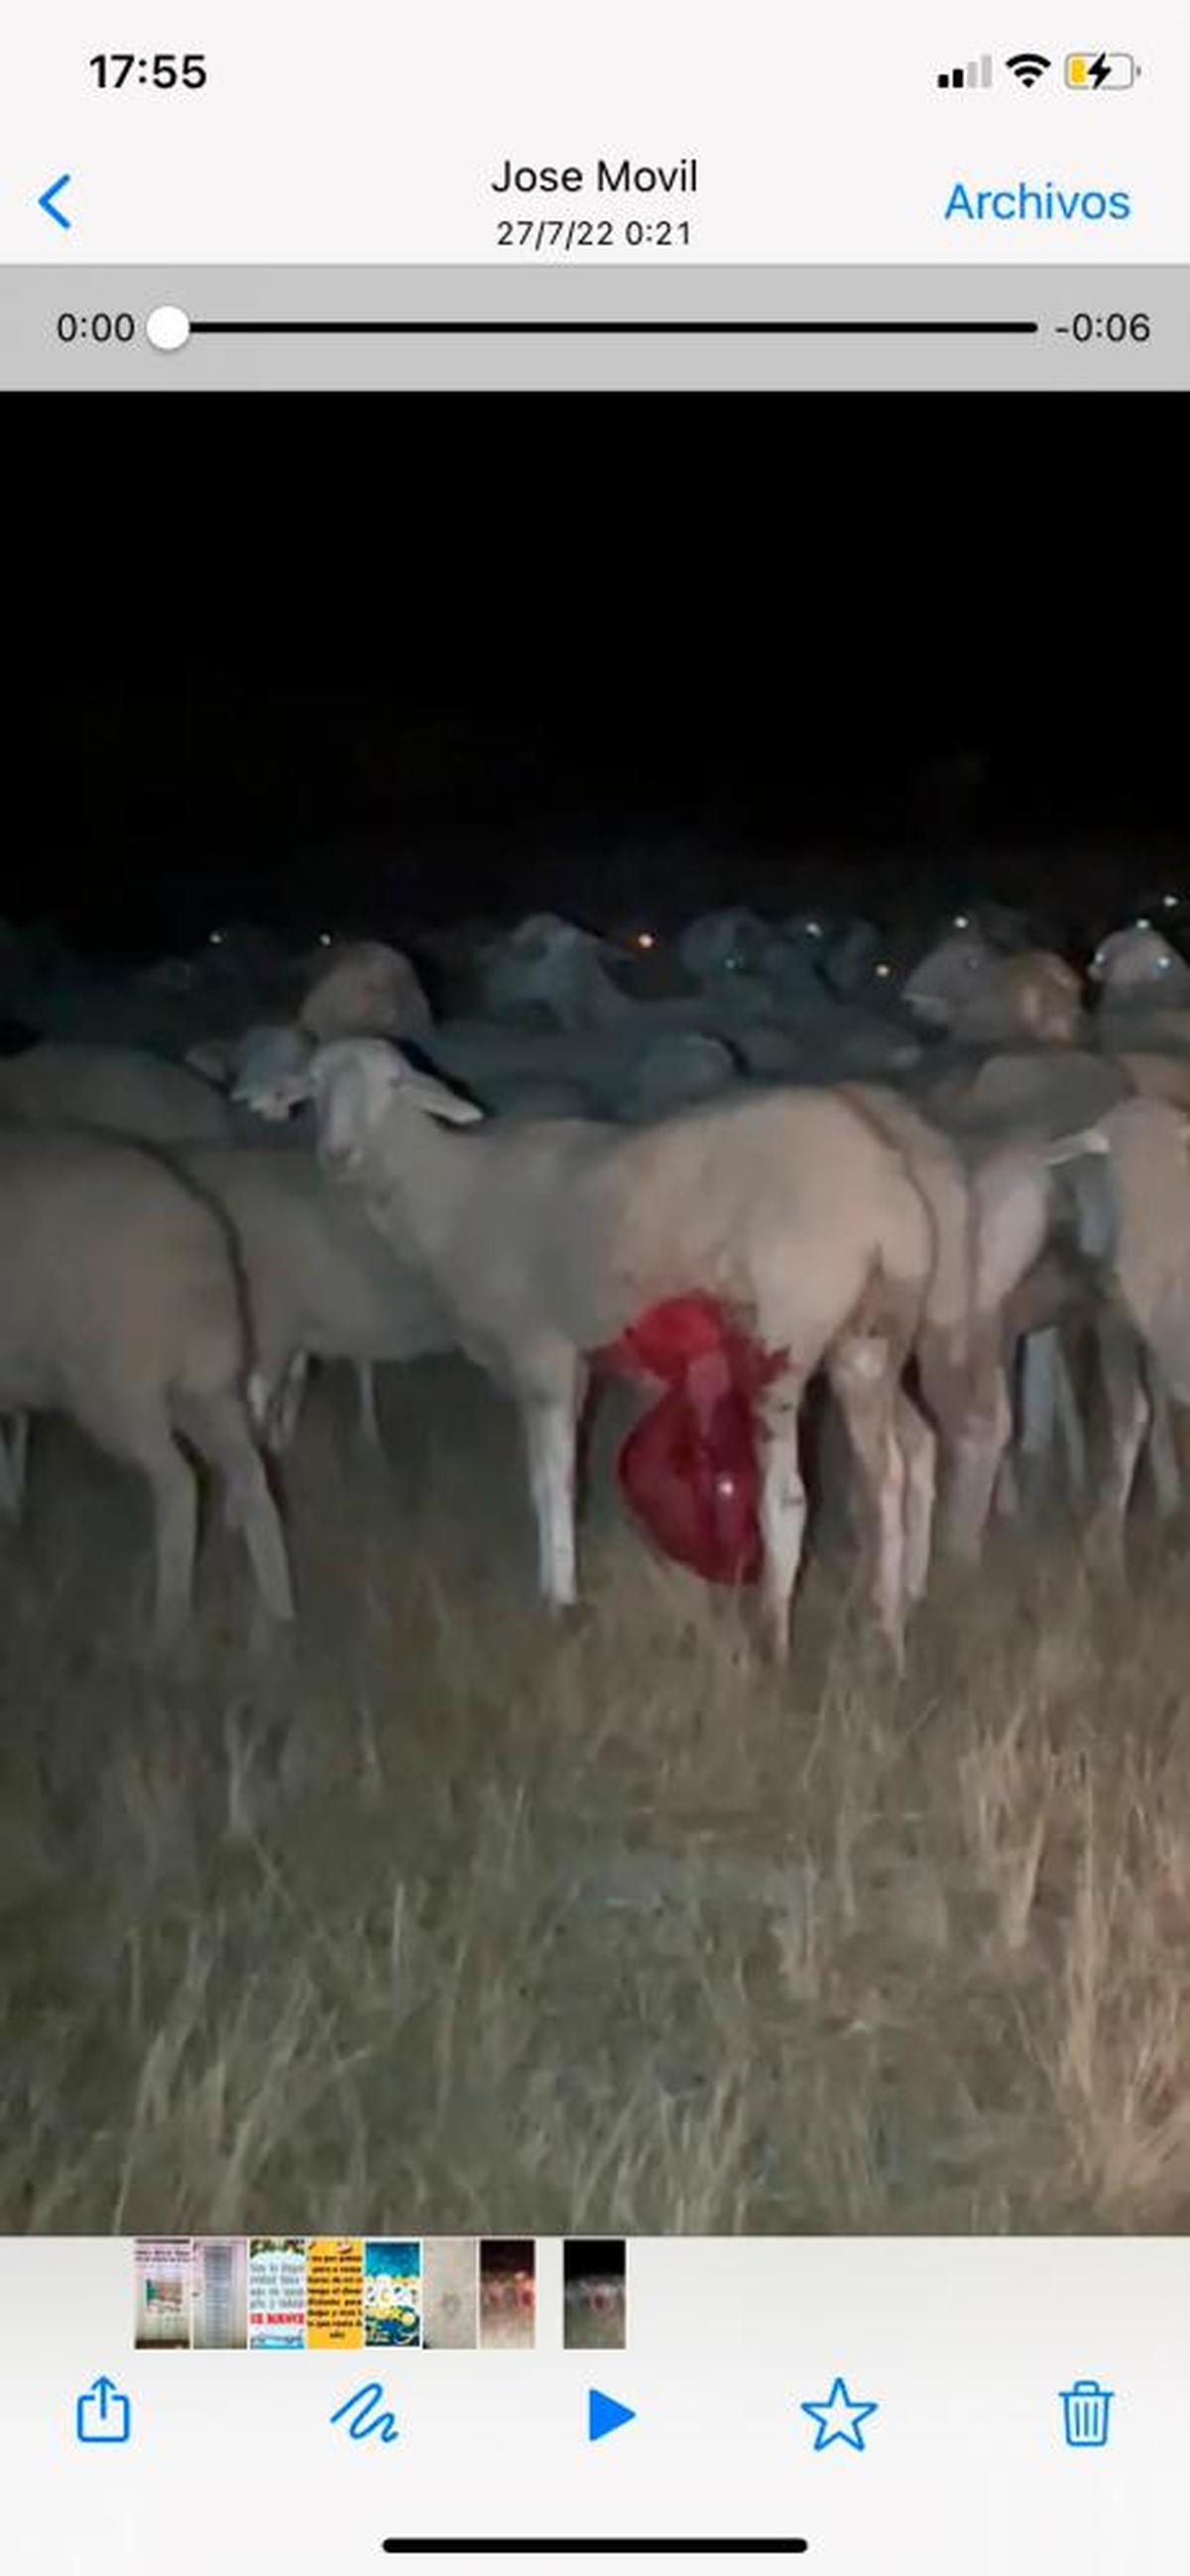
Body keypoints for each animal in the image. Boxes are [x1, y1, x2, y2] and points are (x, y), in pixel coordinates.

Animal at [0, 1123, 292, 1638]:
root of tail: (197, 1239)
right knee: (251, 1474)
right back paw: (279, 1621)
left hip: (118, 1391)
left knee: (177, 1483)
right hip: (205, 1385)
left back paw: (169, 1625)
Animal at [251, 1035, 947, 1658]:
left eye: (393, 1083)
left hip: (783, 1336)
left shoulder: (541, 1350)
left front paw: (558, 1598)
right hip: (870, 1338)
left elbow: (550, 1479)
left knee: (789, 1498)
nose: (338, 1153)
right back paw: (891, 1623)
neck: (453, 1197)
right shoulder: (577, 1358)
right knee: (897, 1463)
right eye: (313, 1087)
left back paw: (776, 1641)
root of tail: (885, 1180)